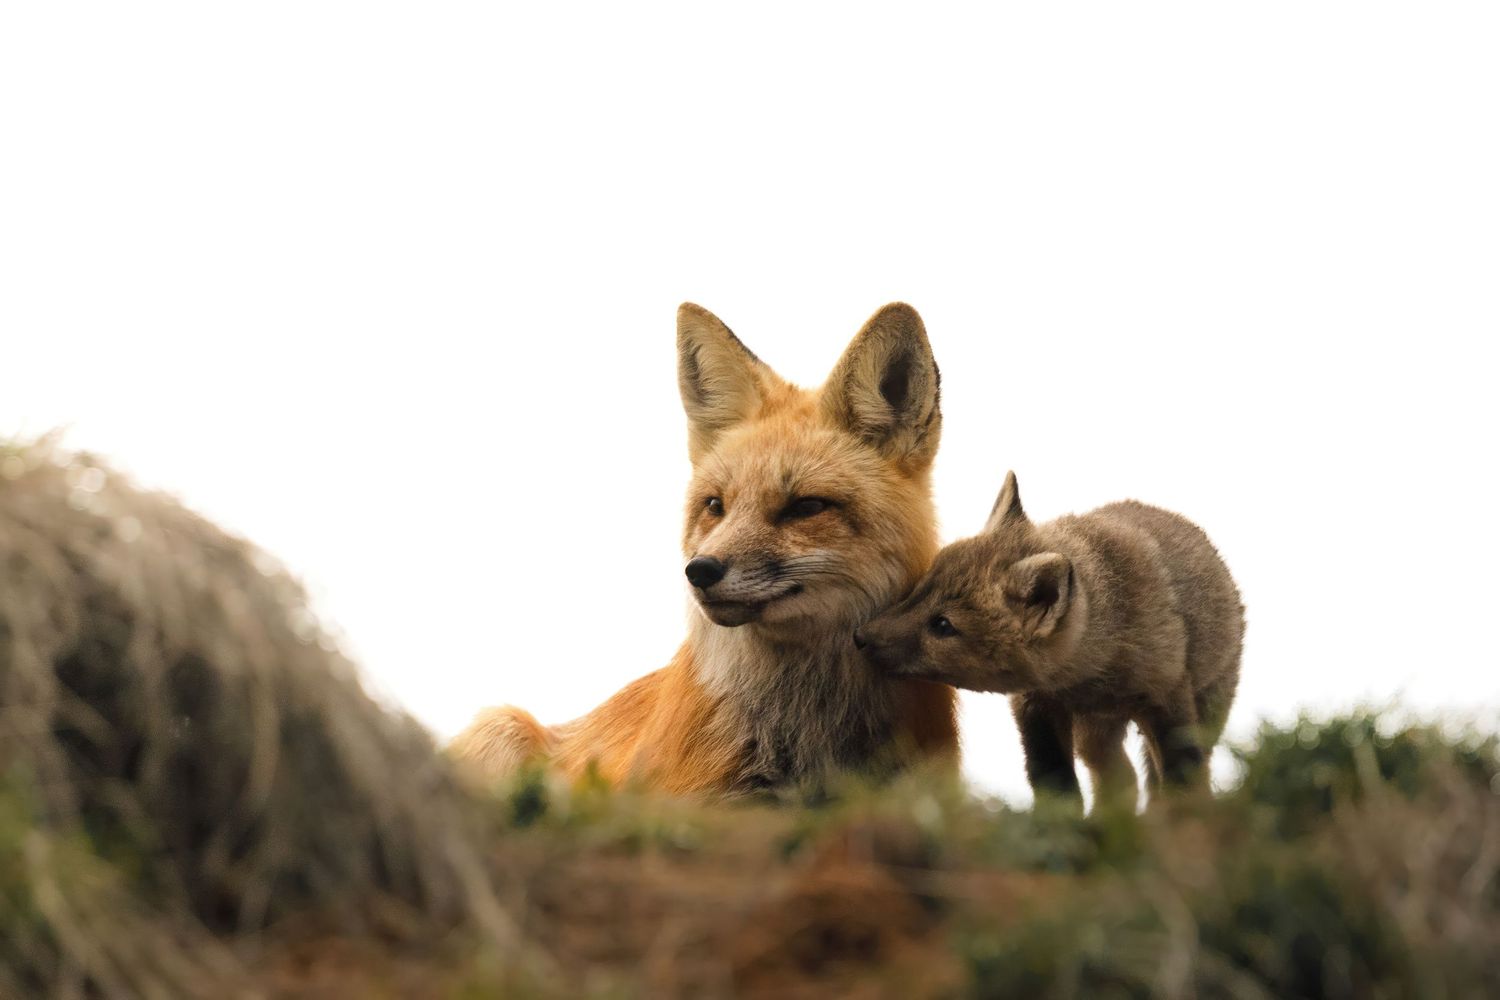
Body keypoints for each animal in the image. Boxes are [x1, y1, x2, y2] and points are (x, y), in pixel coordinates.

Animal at [855, 471, 1243, 812]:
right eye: (922, 588)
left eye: (942, 625)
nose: (860, 636)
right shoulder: (1036, 707)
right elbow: (1055, 784)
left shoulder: (1168, 702)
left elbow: (1184, 786)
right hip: (1095, 734)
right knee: (1123, 778)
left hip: (1206, 710)